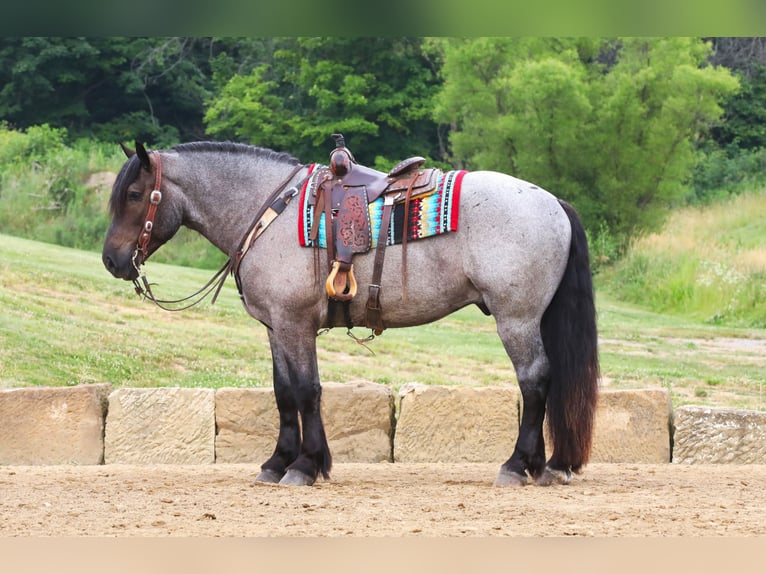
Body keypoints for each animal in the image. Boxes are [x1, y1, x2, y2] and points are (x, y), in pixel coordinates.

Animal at [102, 140, 604, 486]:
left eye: (134, 194)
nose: (112, 260)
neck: (270, 213)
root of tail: (551, 201)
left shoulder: (296, 324)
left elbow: (306, 391)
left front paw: (306, 466)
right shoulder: (277, 328)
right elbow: (283, 392)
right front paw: (278, 462)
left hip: (517, 320)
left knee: (534, 382)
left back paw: (517, 465)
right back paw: (549, 465)